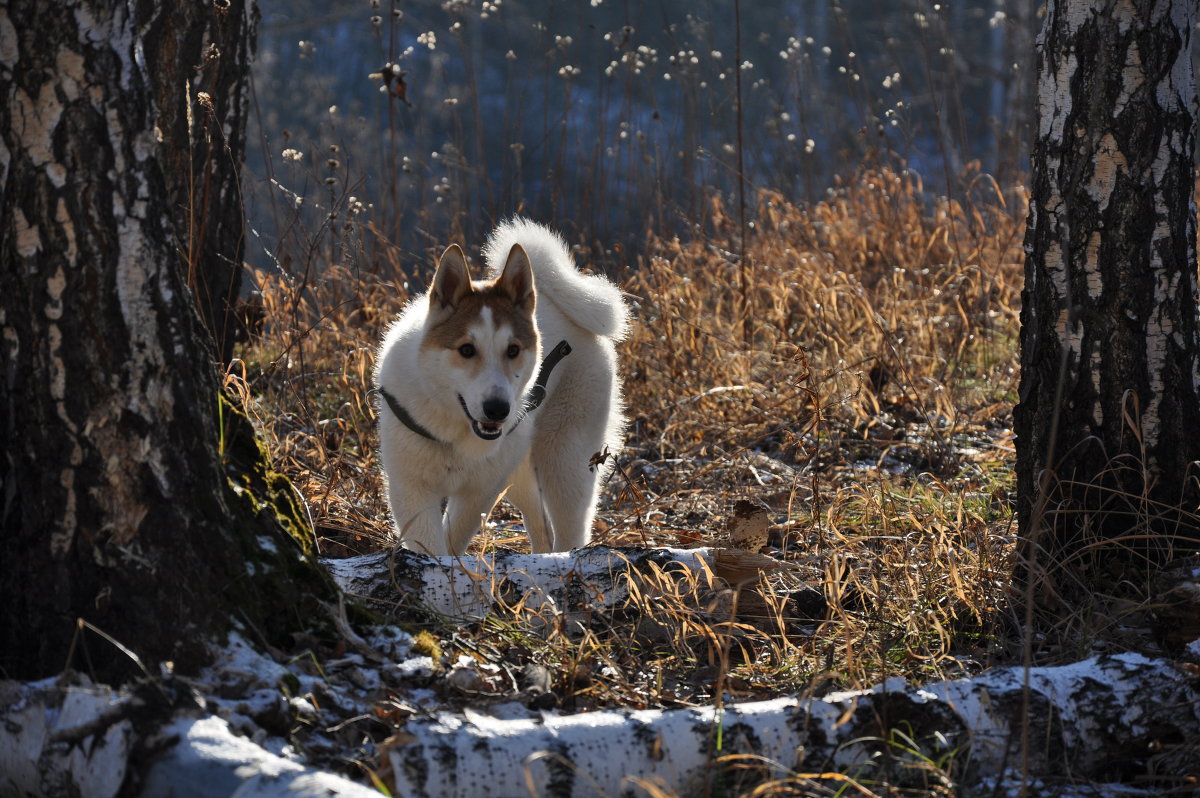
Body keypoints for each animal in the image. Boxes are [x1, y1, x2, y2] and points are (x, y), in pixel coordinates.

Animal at [376, 218, 633, 554]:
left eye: (513, 350)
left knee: (569, 528)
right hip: (520, 473)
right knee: (541, 525)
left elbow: (452, 538)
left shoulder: (479, 492)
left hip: (564, 462)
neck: (456, 433)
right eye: (466, 350)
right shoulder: (412, 489)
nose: (498, 409)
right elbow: (431, 544)